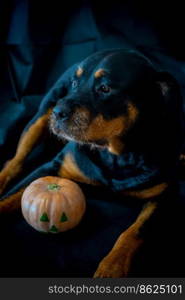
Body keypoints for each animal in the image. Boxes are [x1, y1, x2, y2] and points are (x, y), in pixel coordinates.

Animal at [0, 49, 183, 276]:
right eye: (75, 83)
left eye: (105, 88)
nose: (58, 112)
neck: (115, 156)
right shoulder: (52, 166)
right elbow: (11, 197)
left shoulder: (165, 195)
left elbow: (134, 231)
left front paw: (112, 266)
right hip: (42, 114)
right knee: (15, 160)